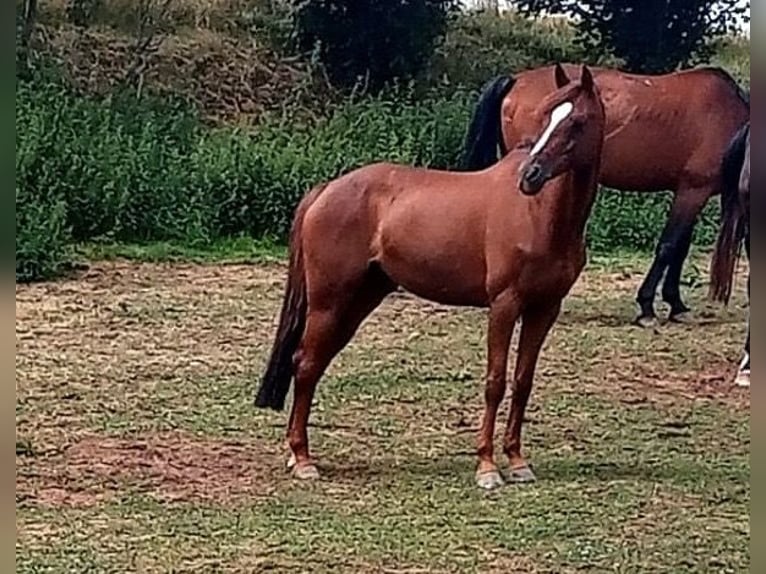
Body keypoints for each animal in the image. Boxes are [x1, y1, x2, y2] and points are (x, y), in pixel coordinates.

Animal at [256, 66, 608, 490]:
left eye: (577, 122)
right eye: (544, 118)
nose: (530, 176)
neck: (541, 215)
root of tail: (325, 190)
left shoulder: (545, 309)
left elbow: (522, 381)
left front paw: (517, 461)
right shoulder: (504, 305)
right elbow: (495, 381)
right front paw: (487, 467)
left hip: (358, 301)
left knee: (313, 363)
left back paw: (297, 454)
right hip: (329, 303)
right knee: (306, 364)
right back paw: (303, 457)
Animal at [462, 63, 752, 328]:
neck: (727, 113)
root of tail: (514, 79)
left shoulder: (689, 191)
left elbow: (679, 249)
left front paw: (676, 305)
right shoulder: (693, 190)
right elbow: (668, 247)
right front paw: (647, 307)